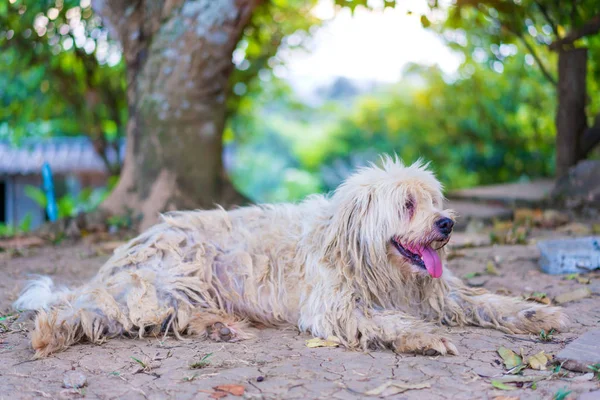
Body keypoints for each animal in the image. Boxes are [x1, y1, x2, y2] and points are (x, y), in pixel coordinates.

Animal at [12, 155, 568, 358]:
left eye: (435, 201)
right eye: (408, 204)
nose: (447, 224)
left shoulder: (435, 291)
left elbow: (484, 300)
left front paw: (535, 313)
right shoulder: (335, 307)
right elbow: (387, 321)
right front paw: (425, 337)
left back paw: (222, 328)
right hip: (172, 273)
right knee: (110, 312)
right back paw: (50, 330)